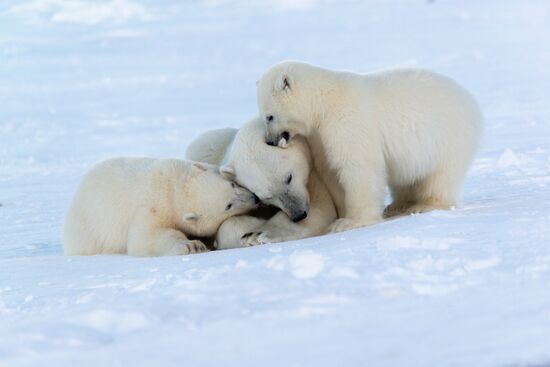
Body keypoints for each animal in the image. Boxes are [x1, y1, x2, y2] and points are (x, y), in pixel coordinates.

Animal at [65, 157, 260, 256]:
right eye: (228, 206)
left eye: (232, 185)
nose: (254, 198)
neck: (174, 189)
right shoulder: (152, 208)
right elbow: (144, 238)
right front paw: (192, 246)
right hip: (89, 231)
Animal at [258, 60, 484, 233]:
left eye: (269, 116)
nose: (269, 141)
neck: (323, 102)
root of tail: (470, 99)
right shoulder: (319, 138)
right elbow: (331, 173)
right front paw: (340, 215)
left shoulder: (346, 122)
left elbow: (357, 167)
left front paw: (349, 222)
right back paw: (397, 205)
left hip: (447, 137)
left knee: (440, 175)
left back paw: (425, 205)